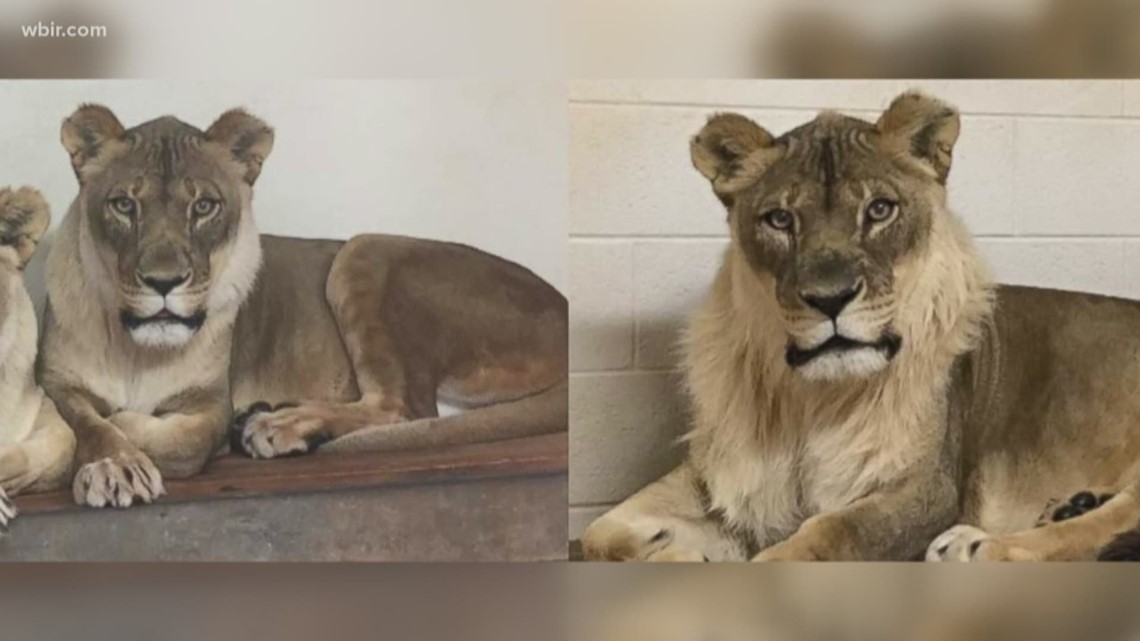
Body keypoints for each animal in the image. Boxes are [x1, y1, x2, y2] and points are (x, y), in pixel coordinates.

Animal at [39, 105, 567, 509]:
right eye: (124, 205)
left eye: (205, 206)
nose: (164, 282)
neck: (138, 351)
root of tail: (561, 302)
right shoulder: (56, 381)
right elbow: (83, 422)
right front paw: (115, 465)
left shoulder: (211, 402)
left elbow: (179, 440)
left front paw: (126, 431)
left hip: (364, 249)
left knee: (405, 407)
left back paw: (276, 425)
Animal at [581, 90, 1140, 562]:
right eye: (779, 219)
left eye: (879, 210)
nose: (830, 300)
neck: (808, 401)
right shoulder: (716, 476)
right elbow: (598, 533)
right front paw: (673, 553)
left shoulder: (926, 492)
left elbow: (827, 533)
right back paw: (1070, 504)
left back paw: (974, 546)